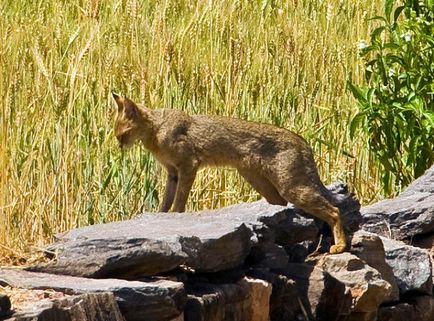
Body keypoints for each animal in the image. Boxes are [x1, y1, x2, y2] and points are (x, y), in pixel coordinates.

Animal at [112, 92, 346, 252]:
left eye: (122, 135)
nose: (119, 147)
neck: (156, 129)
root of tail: (303, 142)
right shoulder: (173, 173)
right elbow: (166, 201)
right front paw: (160, 215)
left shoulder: (188, 165)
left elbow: (179, 201)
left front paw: (174, 216)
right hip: (261, 183)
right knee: (283, 206)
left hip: (292, 187)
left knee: (335, 210)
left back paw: (340, 246)